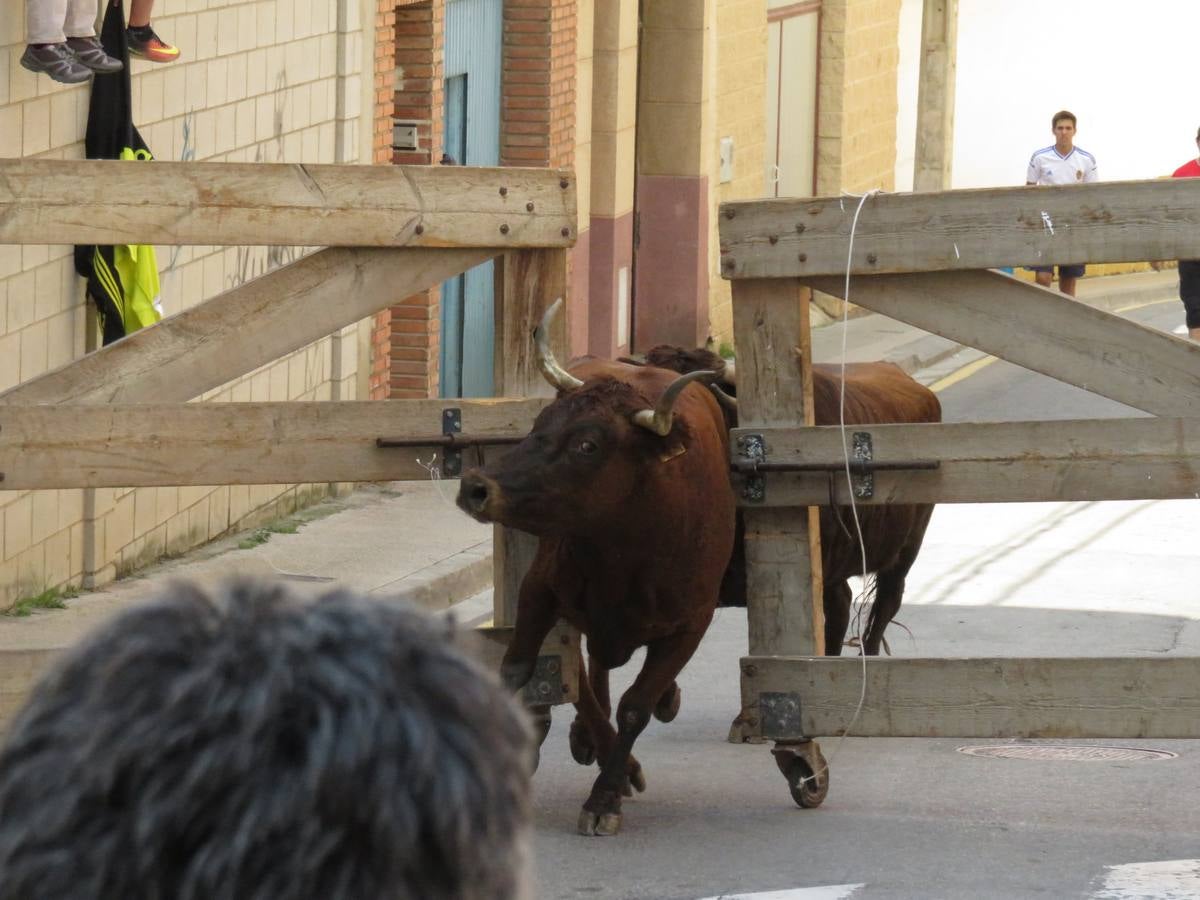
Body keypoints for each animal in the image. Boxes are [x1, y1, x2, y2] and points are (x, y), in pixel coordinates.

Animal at [456, 304, 729, 840]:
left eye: (588, 445)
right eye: (539, 422)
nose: (476, 487)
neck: (624, 552)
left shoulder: (691, 625)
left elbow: (635, 706)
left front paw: (604, 797)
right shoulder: (538, 591)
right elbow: (524, 670)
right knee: (586, 674)